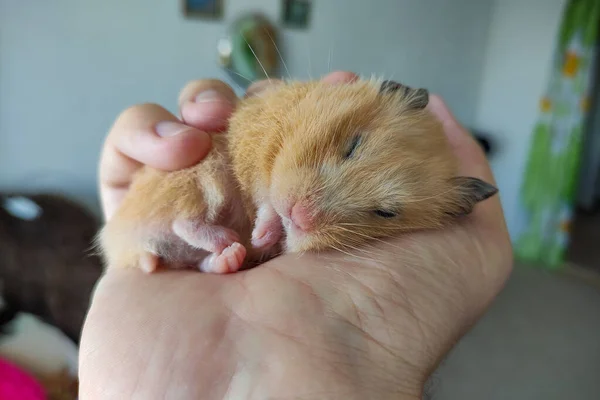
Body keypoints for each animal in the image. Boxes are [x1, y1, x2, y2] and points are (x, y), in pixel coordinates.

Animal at [97, 76, 496, 274]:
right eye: (352, 145)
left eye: (386, 213)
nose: (298, 216)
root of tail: (119, 242)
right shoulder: (257, 147)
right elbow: (265, 195)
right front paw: (262, 232)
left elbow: (271, 210)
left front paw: (264, 238)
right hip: (200, 175)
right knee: (182, 221)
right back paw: (229, 238)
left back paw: (230, 254)